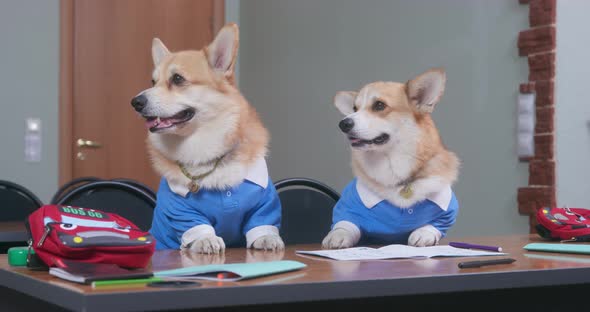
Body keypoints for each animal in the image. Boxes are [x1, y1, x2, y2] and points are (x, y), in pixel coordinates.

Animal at [130, 23, 286, 254]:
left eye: (178, 79)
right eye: (153, 81)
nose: (135, 102)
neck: (206, 153)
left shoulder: (263, 200)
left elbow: (262, 222)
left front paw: (267, 238)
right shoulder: (180, 208)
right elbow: (197, 227)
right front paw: (206, 240)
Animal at [322, 69, 460, 249]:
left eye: (379, 105)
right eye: (354, 108)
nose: (343, 124)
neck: (393, 167)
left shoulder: (445, 209)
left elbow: (432, 225)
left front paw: (423, 234)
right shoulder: (348, 206)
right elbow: (344, 224)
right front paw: (338, 235)